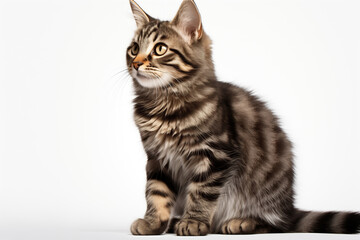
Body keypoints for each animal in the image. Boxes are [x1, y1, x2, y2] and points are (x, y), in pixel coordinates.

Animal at [126, 0, 360, 236]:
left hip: (266, 195)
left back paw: (240, 222)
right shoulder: (157, 159)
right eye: (134, 49)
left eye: (160, 49)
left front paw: (193, 221)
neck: (164, 106)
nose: (135, 63)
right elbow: (157, 193)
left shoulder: (216, 154)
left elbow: (202, 193)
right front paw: (153, 223)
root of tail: (288, 208)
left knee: (275, 225)